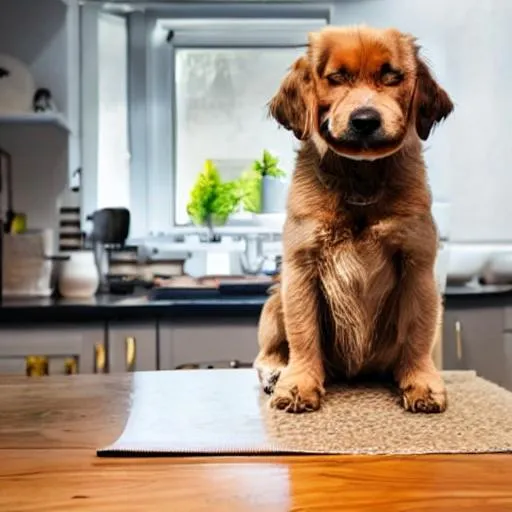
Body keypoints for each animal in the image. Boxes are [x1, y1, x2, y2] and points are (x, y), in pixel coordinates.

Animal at [254, 26, 454, 414]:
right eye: (336, 77)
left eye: (392, 76)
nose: (365, 121)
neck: (360, 179)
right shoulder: (301, 268)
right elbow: (303, 334)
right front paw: (299, 383)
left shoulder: (418, 267)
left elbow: (418, 333)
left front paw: (421, 381)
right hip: (273, 300)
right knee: (267, 351)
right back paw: (275, 372)